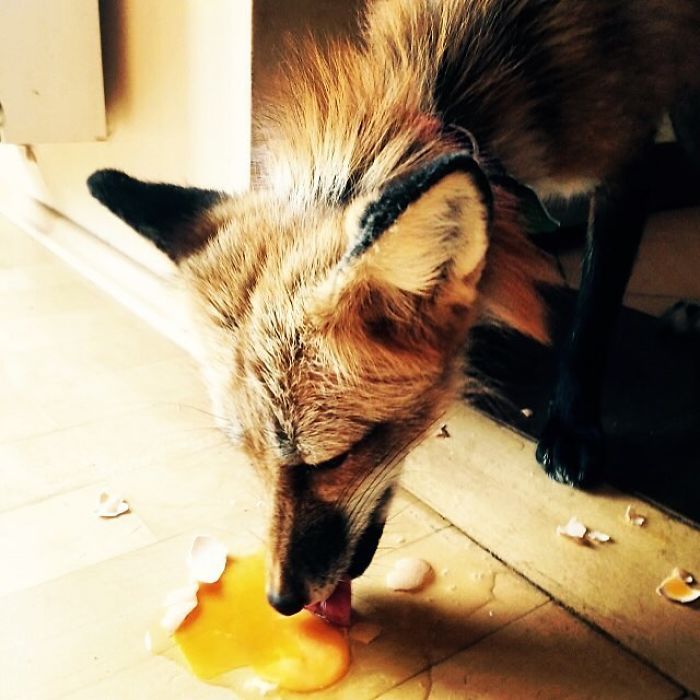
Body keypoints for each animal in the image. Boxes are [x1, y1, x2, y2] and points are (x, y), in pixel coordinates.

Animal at [88, 0, 700, 616]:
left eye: (330, 459)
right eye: (248, 454)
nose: (281, 601)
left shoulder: (627, 163)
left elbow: (591, 318)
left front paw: (572, 426)